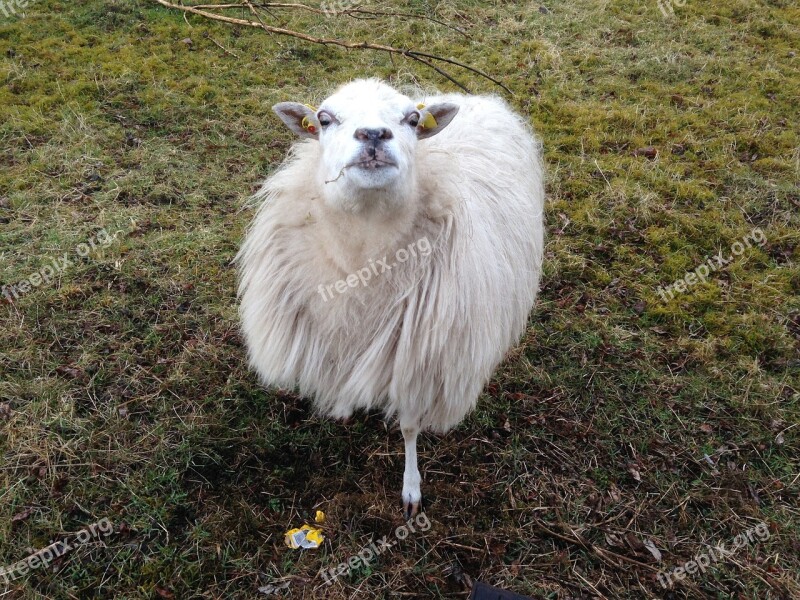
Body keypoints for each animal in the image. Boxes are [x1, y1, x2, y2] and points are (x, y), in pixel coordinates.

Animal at [236, 77, 544, 516]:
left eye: (412, 119)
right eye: (324, 119)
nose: (373, 135)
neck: (362, 254)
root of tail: (471, 97)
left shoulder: (420, 360)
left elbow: (410, 425)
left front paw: (411, 489)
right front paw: (343, 409)